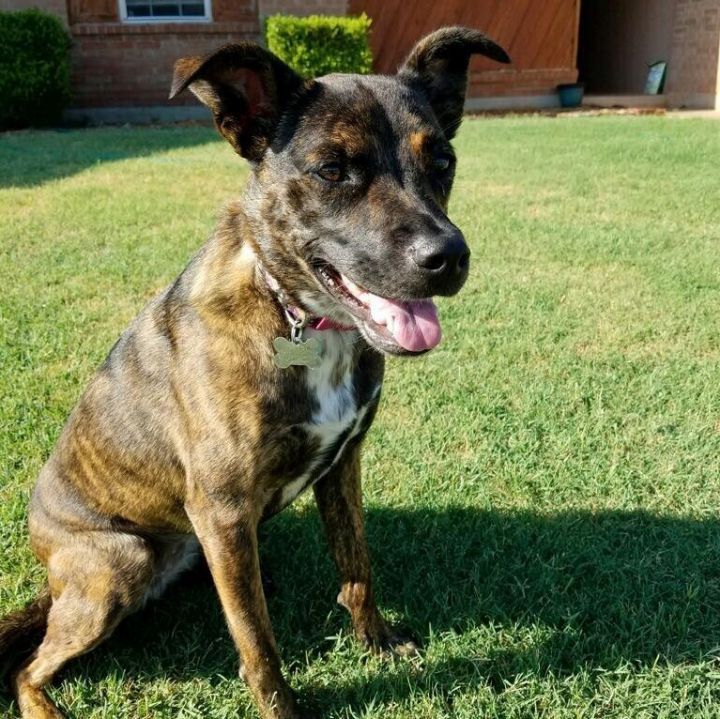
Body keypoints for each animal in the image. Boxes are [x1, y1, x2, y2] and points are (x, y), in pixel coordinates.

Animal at [2, 26, 512, 719]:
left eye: (442, 162)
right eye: (332, 170)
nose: (449, 257)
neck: (297, 315)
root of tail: (48, 570)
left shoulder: (342, 465)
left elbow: (357, 568)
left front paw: (376, 642)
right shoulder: (220, 508)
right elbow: (255, 636)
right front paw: (282, 706)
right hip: (118, 562)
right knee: (26, 668)